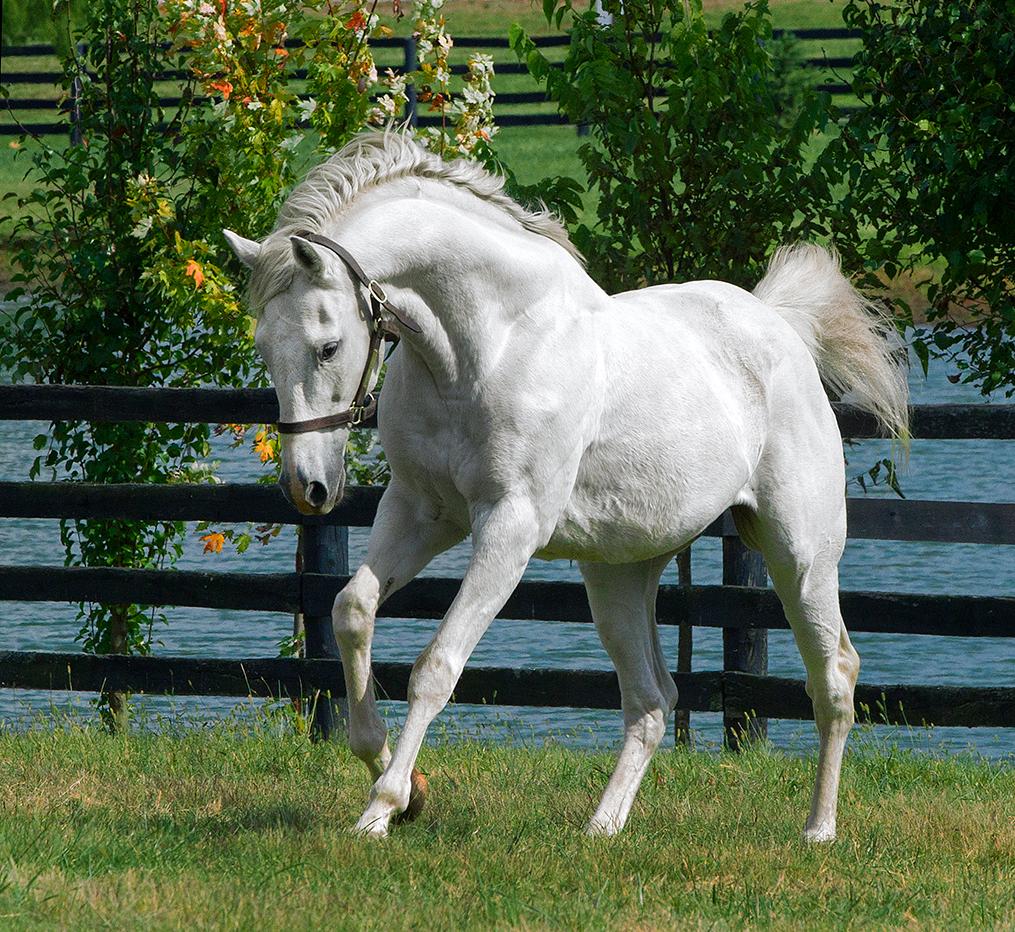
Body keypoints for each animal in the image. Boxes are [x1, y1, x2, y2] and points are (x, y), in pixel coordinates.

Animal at [226, 129, 909, 840]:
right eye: (263, 347)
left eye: (329, 346)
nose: (308, 487)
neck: (485, 346)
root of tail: (781, 326)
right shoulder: (422, 511)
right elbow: (352, 609)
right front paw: (402, 783)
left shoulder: (509, 525)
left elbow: (437, 666)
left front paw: (382, 808)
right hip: (618, 575)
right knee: (651, 701)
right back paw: (602, 828)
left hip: (799, 554)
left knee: (833, 676)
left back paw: (818, 830)